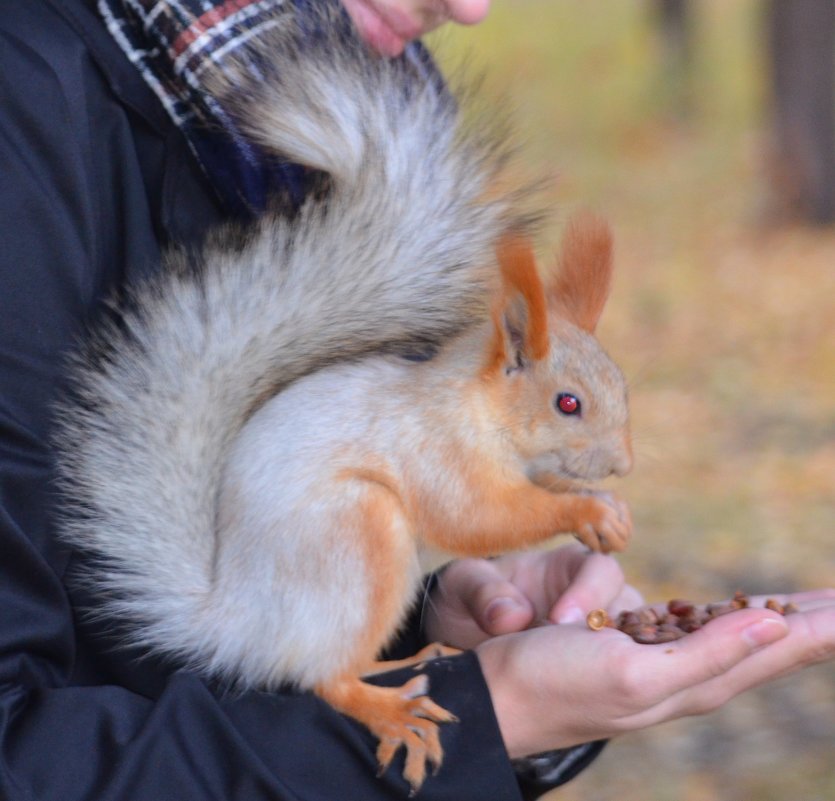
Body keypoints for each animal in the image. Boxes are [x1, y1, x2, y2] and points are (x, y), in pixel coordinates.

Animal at [57, 3, 632, 792]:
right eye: (567, 403)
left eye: (620, 385)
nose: (622, 466)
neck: (475, 408)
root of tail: (237, 621)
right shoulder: (437, 455)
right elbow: (480, 518)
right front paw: (585, 511)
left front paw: (606, 507)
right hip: (357, 536)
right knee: (320, 677)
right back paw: (387, 710)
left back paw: (407, 659)